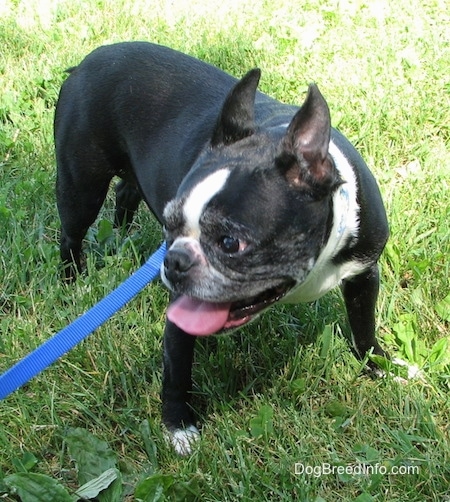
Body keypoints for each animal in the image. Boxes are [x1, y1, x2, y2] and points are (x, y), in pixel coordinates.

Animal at [53, 41, 390, 452]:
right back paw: (73, 279)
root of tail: (85, 63)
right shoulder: (182, 314)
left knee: (125, 191)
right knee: (72, 233)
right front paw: (179, 428)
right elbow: (177, 371)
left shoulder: (363, 273)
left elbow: (363, 326)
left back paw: (121, 235)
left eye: (231, 243)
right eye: (170, 226)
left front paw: (377, 367)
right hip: (81, 184)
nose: (173, 261)